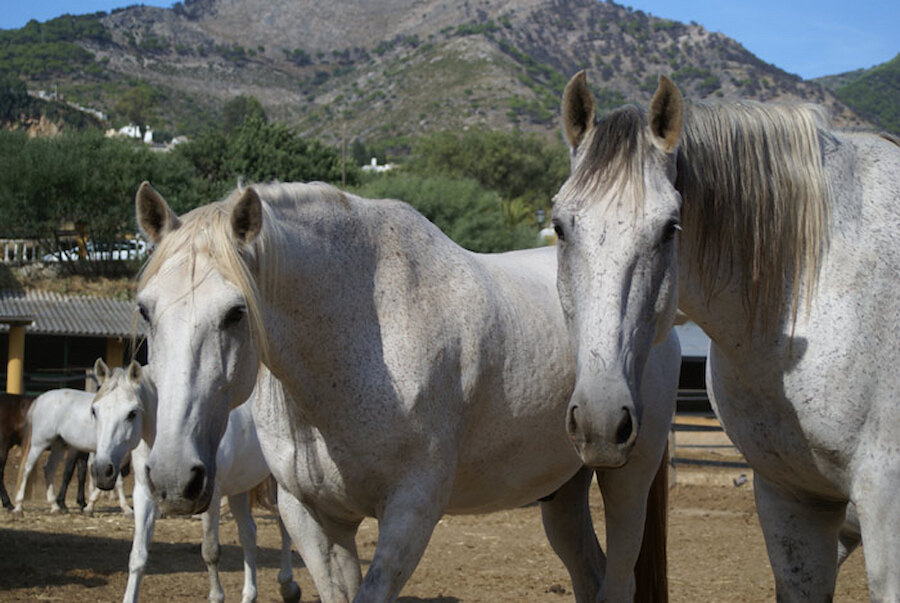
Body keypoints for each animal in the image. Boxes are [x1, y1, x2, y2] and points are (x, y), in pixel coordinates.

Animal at [12, 386, 132, 516]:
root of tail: (39, 399)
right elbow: (118, 482)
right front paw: (126, 508)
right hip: (39, 444)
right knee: (26, 469)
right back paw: (18, 507)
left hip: (58, 445)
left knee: (49, 469)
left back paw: (55, 506)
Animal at [89, 358, 301, 603]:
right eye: (94, 410)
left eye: (132, 413)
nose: (102, 470)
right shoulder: (144, 493)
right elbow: (137, 556)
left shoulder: (212, 495)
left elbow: (210, 552)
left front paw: (217, 596)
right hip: (239, 488)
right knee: (249, 534)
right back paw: (249, 595)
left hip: (278, 484)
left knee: (284, 527)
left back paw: (288, 586)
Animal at [131, 180, 680, 601]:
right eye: (144, 309)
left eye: (235, 312)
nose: (173, 477)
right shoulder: (312, 517)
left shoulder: (410, 513)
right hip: (563, 492)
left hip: (626, 476)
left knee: (617, 580)